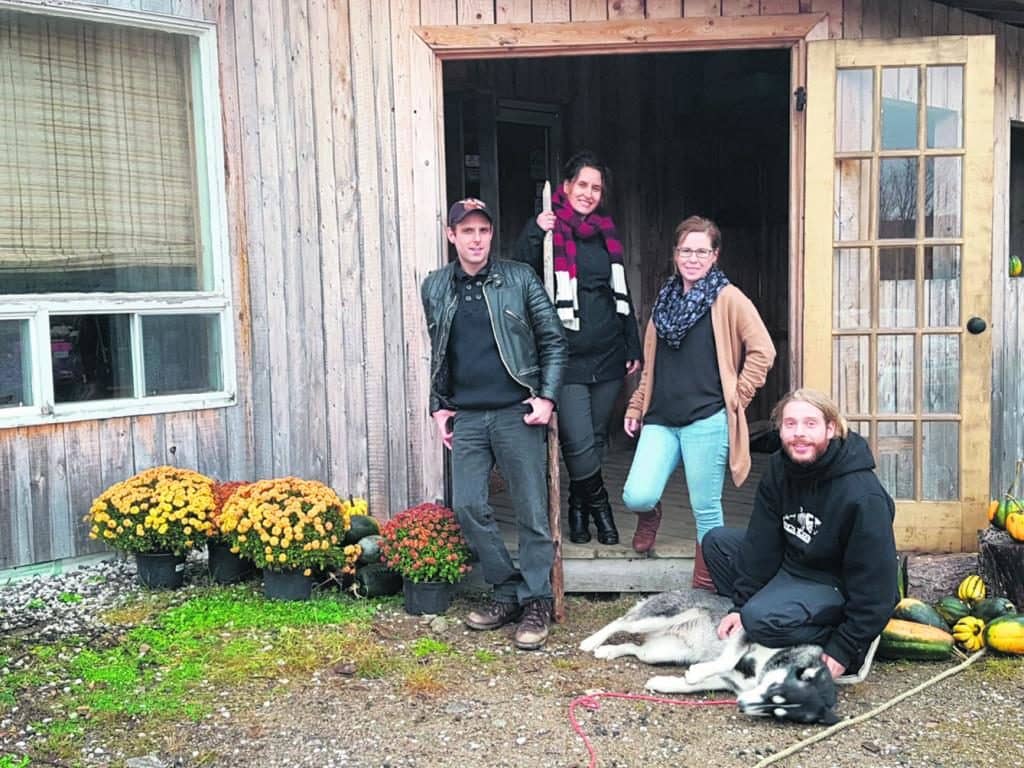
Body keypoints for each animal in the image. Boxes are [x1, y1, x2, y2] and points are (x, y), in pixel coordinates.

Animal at [581, 589, 835, 729]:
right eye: (774, 689)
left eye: (776, 712)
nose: (740, 704)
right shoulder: (744, 632)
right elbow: (727, 659)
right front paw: (696, 673)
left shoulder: (727, 681)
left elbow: (689, 686)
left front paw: (667, 683)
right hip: (656, 618)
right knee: (621, 622)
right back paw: (592, 642)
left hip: (658, 653)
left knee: (634, 648)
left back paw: (609, 651)